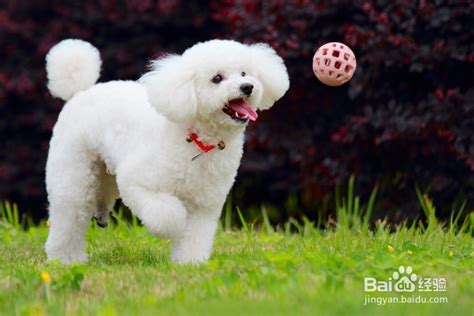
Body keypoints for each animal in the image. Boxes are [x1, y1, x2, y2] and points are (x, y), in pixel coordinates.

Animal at [44, 37, 288, 264]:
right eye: (217, 78)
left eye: (245, 73)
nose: (248, 87)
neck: (198, 141)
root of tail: (80, 91)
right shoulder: (138, 183)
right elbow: (168, 215)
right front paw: (175, 226)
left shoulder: (204, 203)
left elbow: (195, 235)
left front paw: (190, 264)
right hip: (73, 169)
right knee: (70, 212)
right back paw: (65, 259)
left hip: (103, 170)